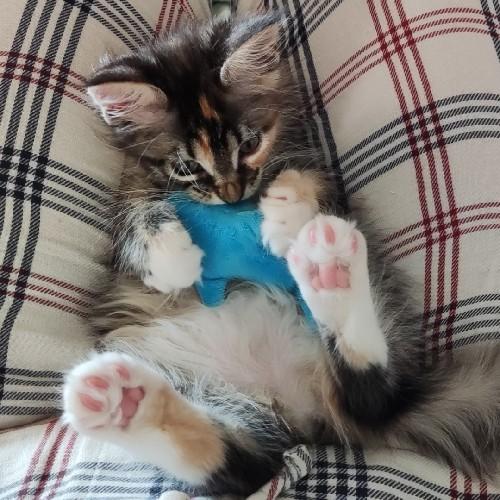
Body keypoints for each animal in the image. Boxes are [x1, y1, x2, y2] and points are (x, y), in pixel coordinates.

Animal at [62, 13, 500, 497]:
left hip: (375, 301)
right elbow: (137, 210)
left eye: (250, 145)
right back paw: (123, 404)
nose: (232, 195)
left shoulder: (319, 168)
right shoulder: (131, 184)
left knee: (370, 397)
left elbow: (303, 174)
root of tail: (298, 405)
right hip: (221, 400)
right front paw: (170, 256)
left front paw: (286, 212)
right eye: (187, 168)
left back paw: (328, 266)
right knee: (250, 461)